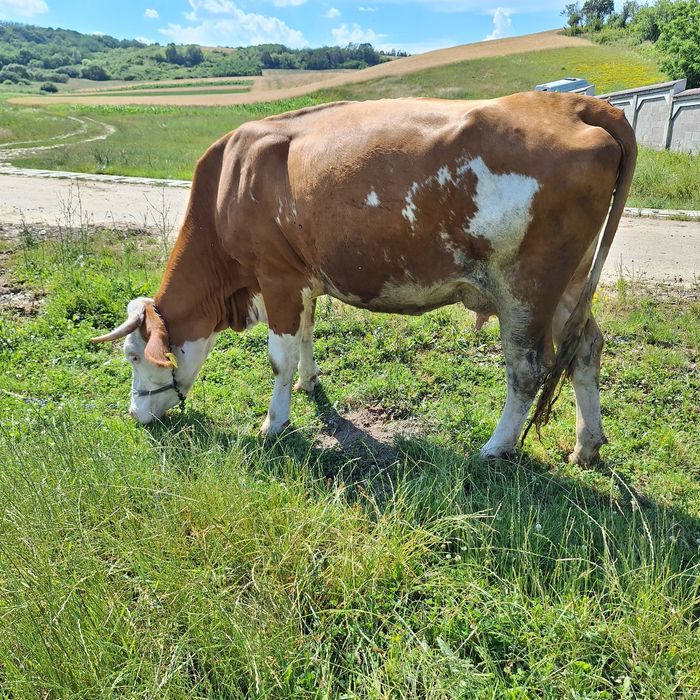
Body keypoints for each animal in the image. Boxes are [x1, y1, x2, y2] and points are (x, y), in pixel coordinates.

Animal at [92, 91, 636, 464]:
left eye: (134, 356)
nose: (135, 415)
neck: (228, 182)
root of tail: (576, 104)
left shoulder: (276, 276)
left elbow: (278, 357)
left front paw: (273, 423)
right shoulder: (302, 278)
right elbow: (306, 335)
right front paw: (310, 383)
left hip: (526, 287)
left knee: (528, 368)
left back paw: (495, 447)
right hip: (570, 284)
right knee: (585, 349)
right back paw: (586, 447)